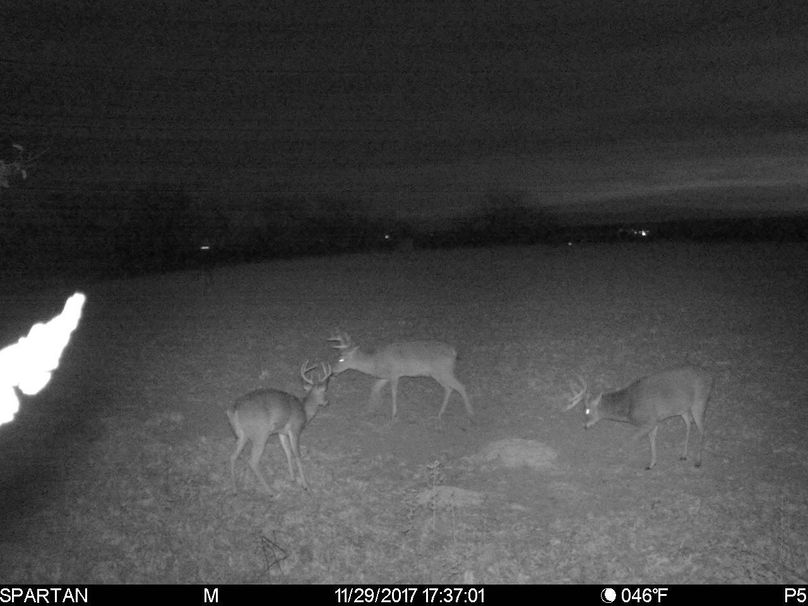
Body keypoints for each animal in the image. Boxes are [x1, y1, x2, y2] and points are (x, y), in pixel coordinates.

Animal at [226, 361, 332, 494]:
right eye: (325, 390)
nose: (327, 402)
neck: (304, 411)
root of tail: (234, 410)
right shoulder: (295, 429)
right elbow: (297, 454)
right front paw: (306, 485)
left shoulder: (281, 432)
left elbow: (287, 452)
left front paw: (292, 478)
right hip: (260, 433)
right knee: (253, 461)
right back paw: (270, 491)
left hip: (242, 434)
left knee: (232, 456)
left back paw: (235, 489)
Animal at [328, 330, 473, 422]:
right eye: (338, 356)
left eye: (341, 359)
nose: (333, 371)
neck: (375, 362)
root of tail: (454, 352)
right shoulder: (384, 376)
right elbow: (374, 388)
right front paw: (370, 410)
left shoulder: (394, 374)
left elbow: (393, 393)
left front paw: (394, 414)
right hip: (438, 373)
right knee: (449, 388)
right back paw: (440, 413)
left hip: (443, 371)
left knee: (460, 386)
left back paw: (469, 413)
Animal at [564, 366, 713, 469]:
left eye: (587, 410)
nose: (585, 425)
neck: (629, 406)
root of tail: (711, 379)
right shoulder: (654, 421)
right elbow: (652, 439)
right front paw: (652, 464)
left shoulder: (650, 421)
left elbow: (632, 440)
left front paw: (624, 460)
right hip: (683, 408)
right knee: (689, 423)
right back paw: (683, 455)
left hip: (700, 402)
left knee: (702, 429)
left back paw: (698, 461)